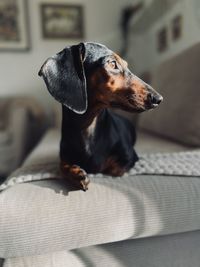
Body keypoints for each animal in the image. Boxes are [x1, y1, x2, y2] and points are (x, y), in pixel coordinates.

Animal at [38, 43, 162, 192]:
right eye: (113, 64)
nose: (158, 99)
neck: (88, 126)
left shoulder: (130, 157)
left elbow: (111, 168)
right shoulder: (64, 158)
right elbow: (62, 167)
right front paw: (77, 173)